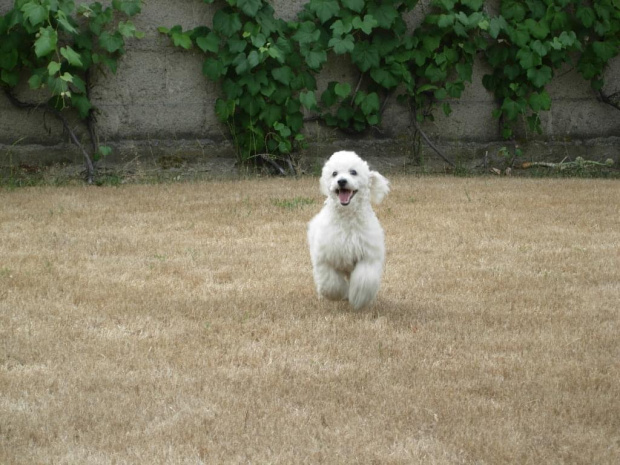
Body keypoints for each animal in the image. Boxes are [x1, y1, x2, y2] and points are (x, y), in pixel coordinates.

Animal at [308, 150, 390, 308]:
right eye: (334, 173)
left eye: (353, 172)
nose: (341, 181)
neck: (347, 217)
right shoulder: (325, 257)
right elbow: (331, 283)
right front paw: (339, 294)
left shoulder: (368, 255)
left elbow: (364, 280)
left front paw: (358, 299)